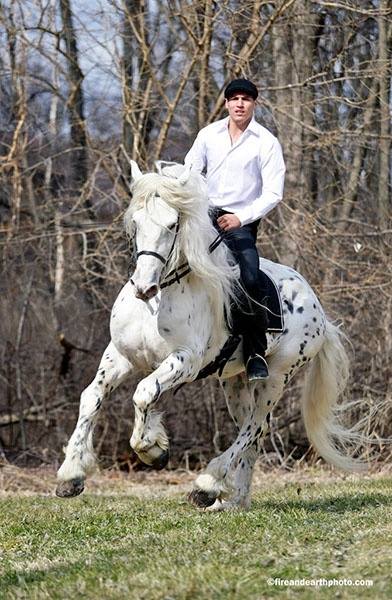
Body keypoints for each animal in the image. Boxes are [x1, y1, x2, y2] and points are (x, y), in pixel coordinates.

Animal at [56, 162, 366, 508]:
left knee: (255, 425)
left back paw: (206, 485)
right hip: (235, 381)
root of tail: (318, 309)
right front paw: (71, 474)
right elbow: (91, 397)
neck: (158, 300)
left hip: (277, 375)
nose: (144, 287)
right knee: (251, 429)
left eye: (172, 224)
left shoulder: (185, 361)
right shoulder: (120, 356)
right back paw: (233, 501)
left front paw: (153, 450)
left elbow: (144, 393)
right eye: (135, 222)